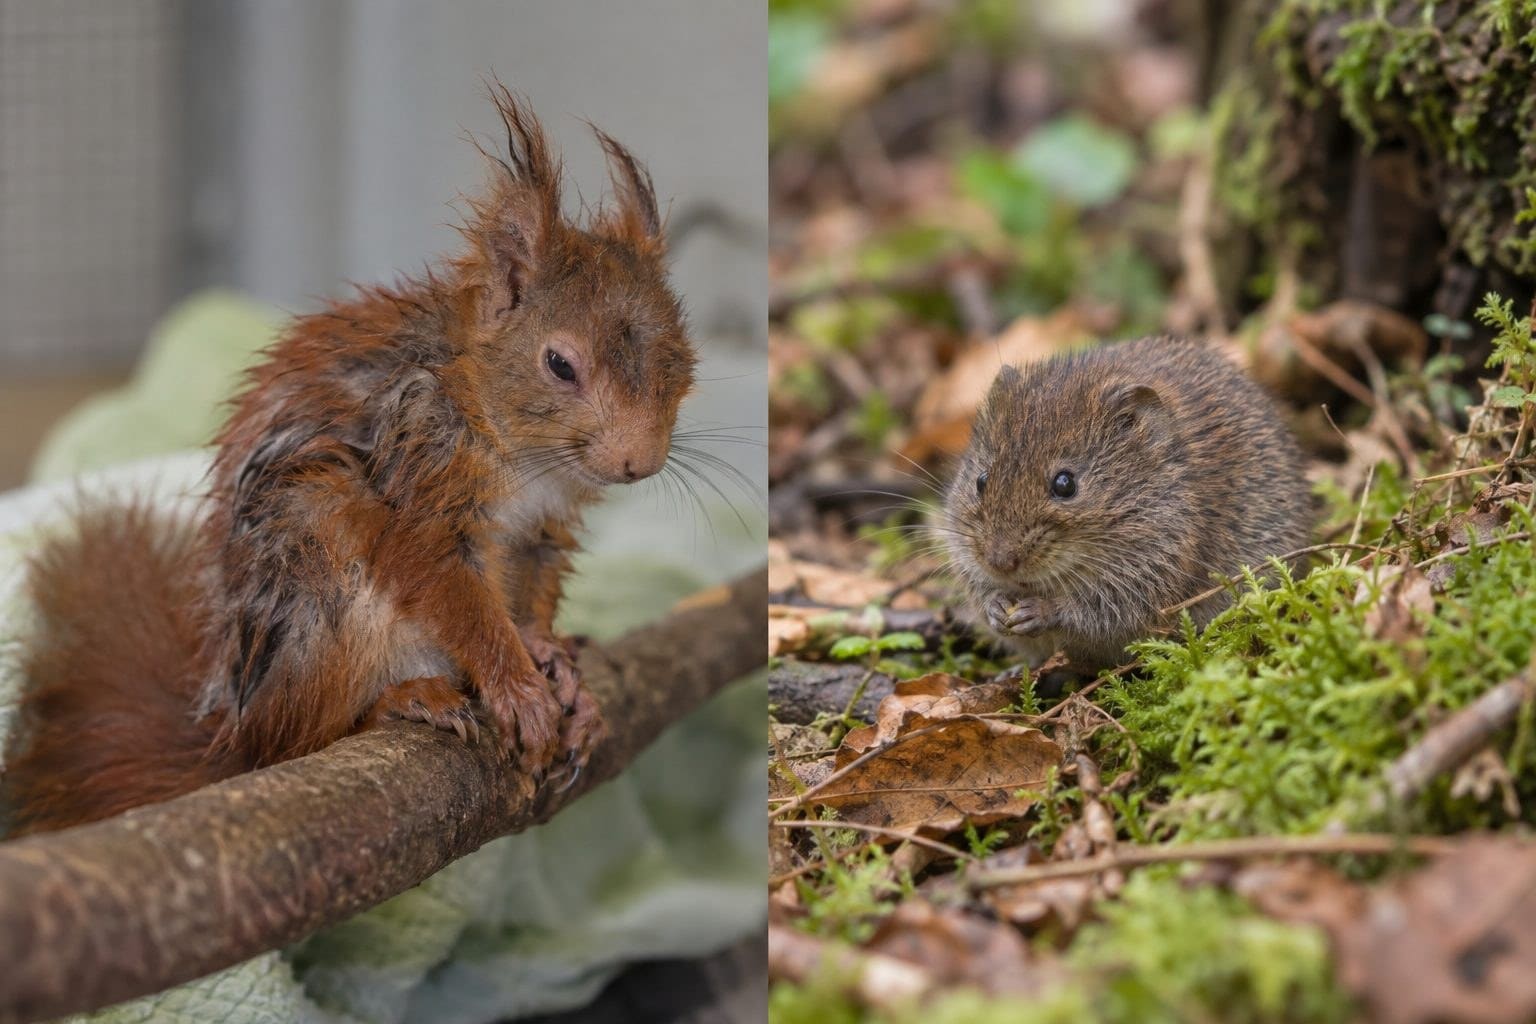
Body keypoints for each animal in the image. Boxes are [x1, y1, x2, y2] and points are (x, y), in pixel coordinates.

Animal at [1, 86, 696, 836]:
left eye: (682, 355)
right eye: (560, 364)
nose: (638, 462)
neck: (519, 452)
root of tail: (233, 736)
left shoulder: (543, 529)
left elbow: (532, 592)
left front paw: (551, 659)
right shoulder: (420, 469)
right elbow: (450, 588)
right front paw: (516, 685)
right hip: (318, 576)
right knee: (303, 737)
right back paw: (403, 699)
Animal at [943, 336, 1311, 671]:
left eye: (1065, 484)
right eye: (981, 480)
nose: (999, 562)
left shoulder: (1151, 569)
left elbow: (1097, 611)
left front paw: (1037, 611)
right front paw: (995, 607)